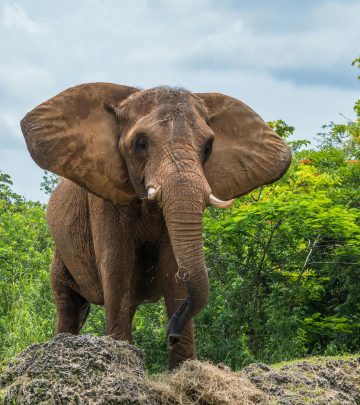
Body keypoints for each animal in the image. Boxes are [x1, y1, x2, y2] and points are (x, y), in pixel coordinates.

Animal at [19, 83, 292, 370]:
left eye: (208, 147)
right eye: (141, 144)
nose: (171, 335)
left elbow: (175, 271)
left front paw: (182, 370)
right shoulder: (105, 199)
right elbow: (117, 270)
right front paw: (123, 364)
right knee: (67, 301)